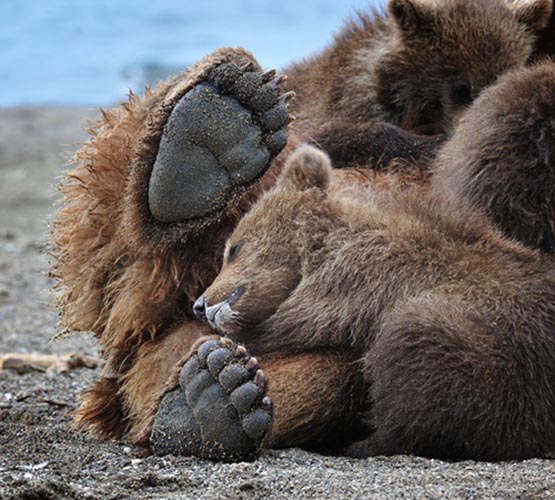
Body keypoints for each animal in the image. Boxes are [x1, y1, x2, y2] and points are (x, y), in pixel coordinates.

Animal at [150, 140, 555, 460]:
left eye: (233, 248)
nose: (199, 303)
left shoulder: (358, 282)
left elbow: (291, 329)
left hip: (501, 359)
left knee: (417, 351)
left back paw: (364, 442)